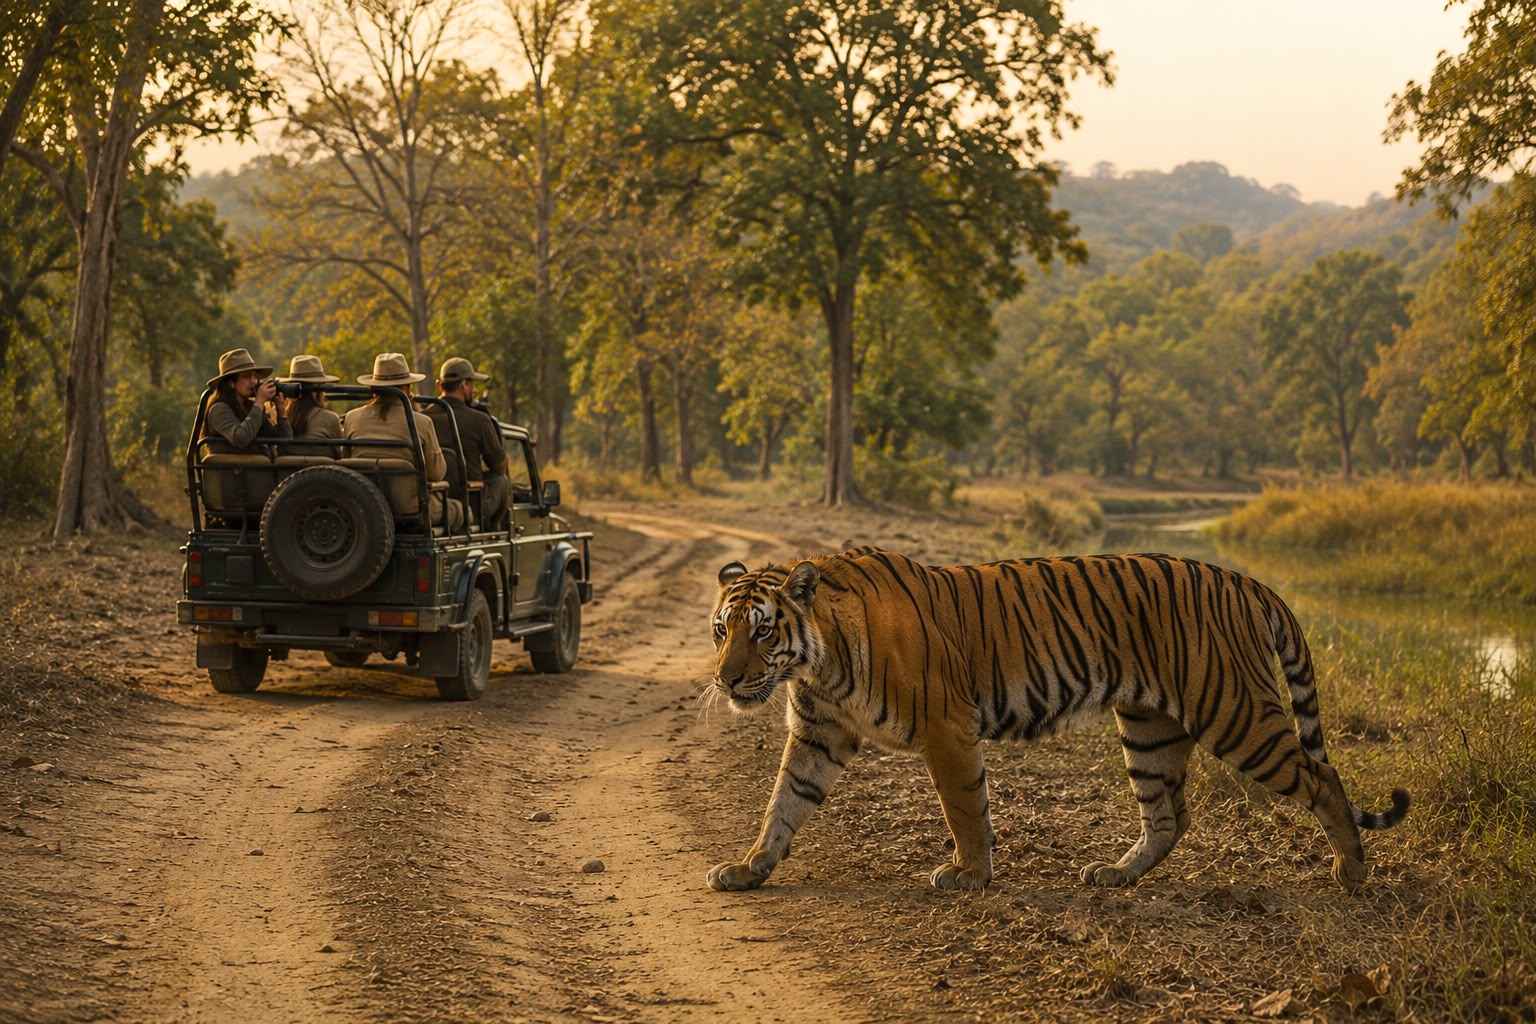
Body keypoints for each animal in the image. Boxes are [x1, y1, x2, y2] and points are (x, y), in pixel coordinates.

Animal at [706, 546, 1409, 893]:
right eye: (722, 630)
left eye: (763, 633)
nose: (727, 679)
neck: (816, 663)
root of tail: (1248, 582)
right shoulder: (817, 735)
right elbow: (782, 805)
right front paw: (749, 868)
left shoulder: (946, 729)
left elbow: (965, 809)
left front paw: (969, 875)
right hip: (1149, 728)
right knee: (1169, 816)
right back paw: (1116, 875)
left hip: (1236, 715)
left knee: (1323, 779)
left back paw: (1352, 872)